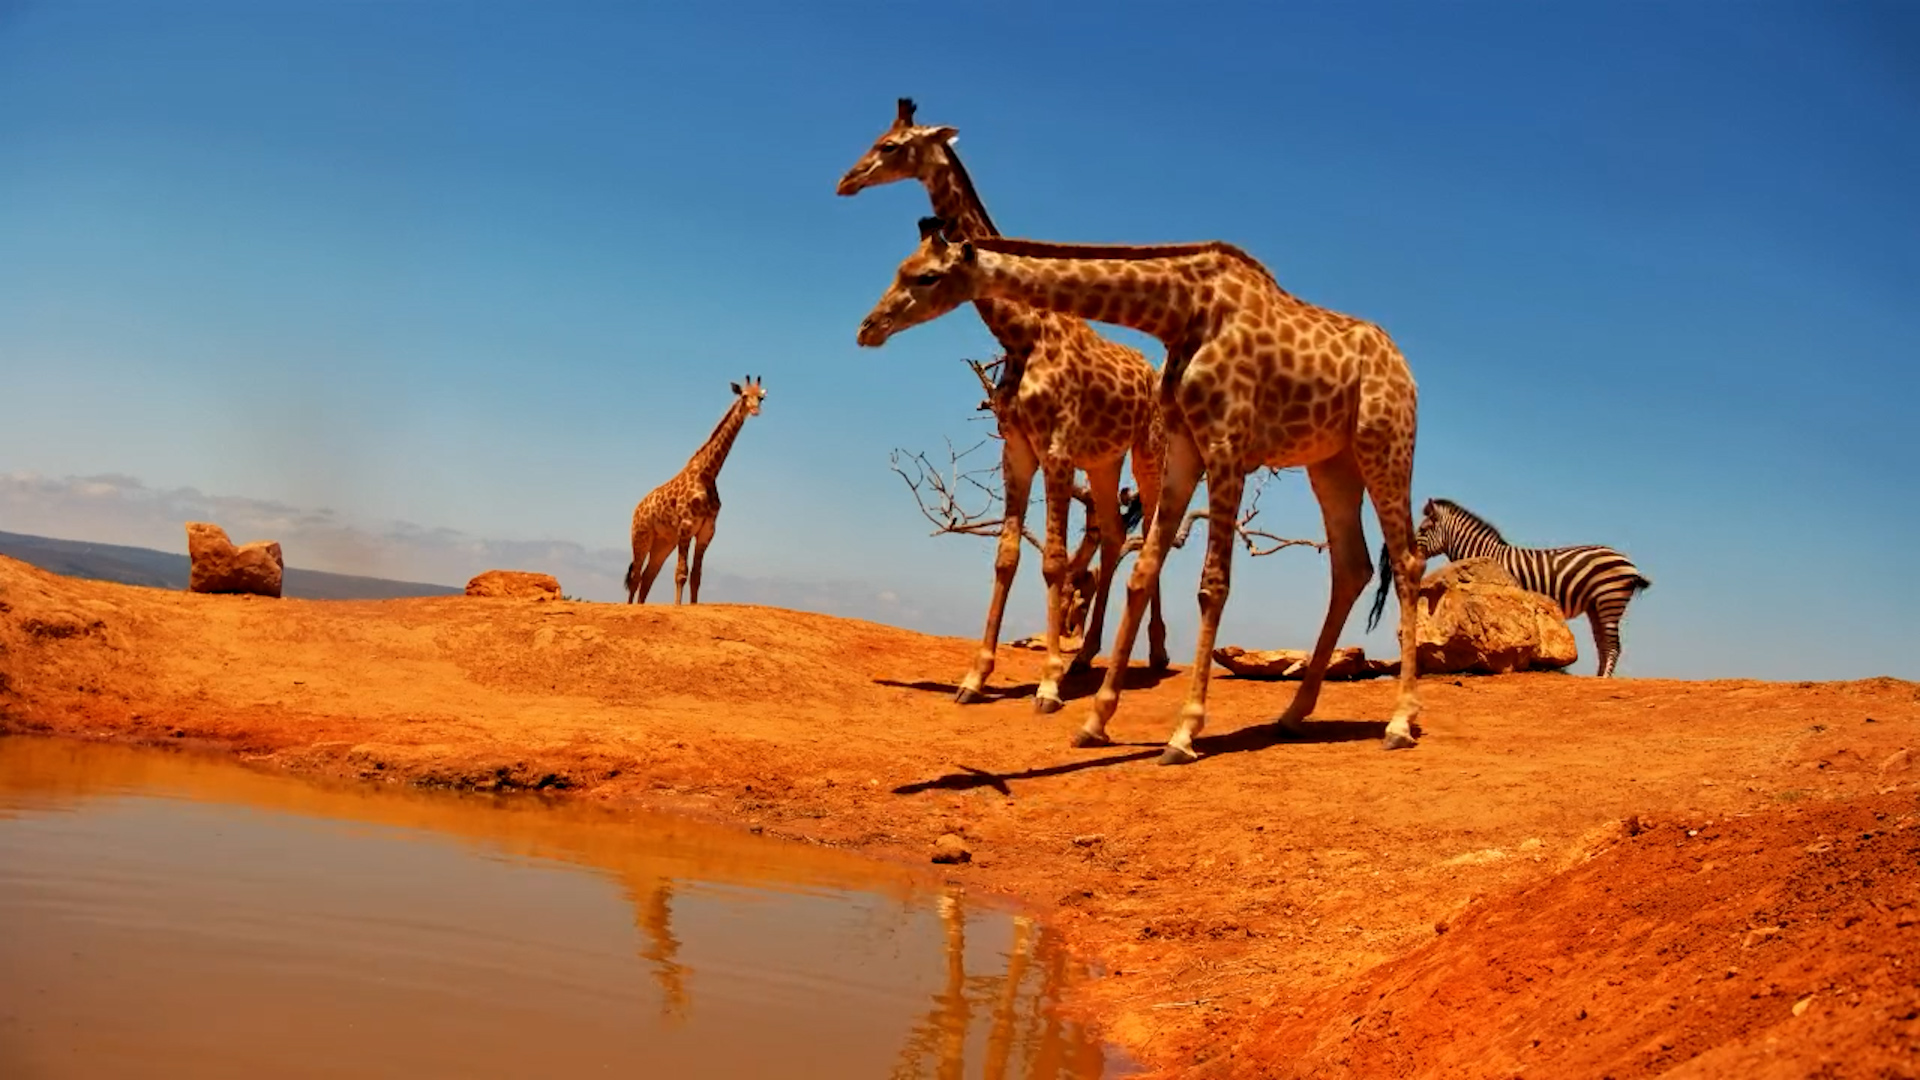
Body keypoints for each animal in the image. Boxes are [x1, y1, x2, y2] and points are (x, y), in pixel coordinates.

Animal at [625, 377, 765, 605]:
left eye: (761, 397)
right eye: (744, 396)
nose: (755, 410)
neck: (707, 474)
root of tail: (637, 508)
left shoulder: (707, 531)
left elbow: (696, 576)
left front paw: (692, 605)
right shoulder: (686, 526)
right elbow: (681, 573)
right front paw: (677, 607)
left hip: (664, 542)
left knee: (648, 575)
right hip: (641, 535)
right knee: (636, 574)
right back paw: (630, 606)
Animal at [837, 98, 1168, 713]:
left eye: (890, 146)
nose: (846, 181)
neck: (1021, 332)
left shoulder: (1056, 450)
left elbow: (1053, 560)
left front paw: (1047, 685)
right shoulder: (1017, 448)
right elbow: (1006, 556)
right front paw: (975, 677)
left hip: (1147, 454)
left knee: (1151, 534)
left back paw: (1152, 654)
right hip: (1104, 461)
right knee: (1114, 534)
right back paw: (1087, 656)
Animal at [858, 218, 1425, 762]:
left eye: (926, 277)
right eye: (902, 268)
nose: (868, 328)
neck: (1184, 310)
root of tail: (1406, 369)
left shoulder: (1227, 446)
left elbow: (1212, 585)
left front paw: (1183, 732)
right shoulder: (1186, 444)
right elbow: (1142, 572)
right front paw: (1095, 721)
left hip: (1384, 444)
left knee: (1407, 561)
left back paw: (1399, 722)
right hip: (1330, 462)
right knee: (1352, 565)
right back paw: (1292, 714)